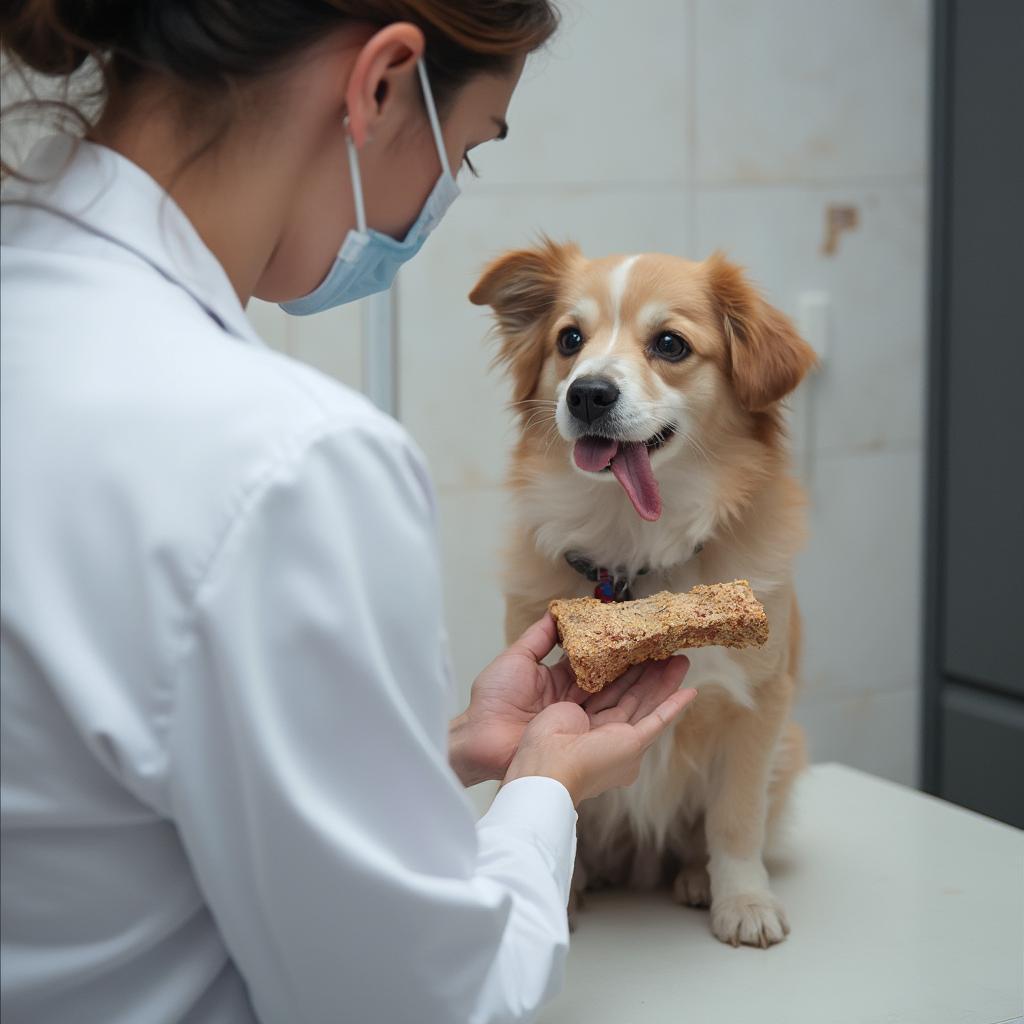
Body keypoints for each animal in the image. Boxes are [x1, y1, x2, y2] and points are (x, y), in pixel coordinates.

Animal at [471, 237, 815, 942]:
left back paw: (696, 878)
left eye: (671, 344)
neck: (636, 549)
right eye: (569, 339)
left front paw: (743, 899)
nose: (587, 394)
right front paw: (556, 897)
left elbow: (736, 819)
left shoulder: (761, 705)